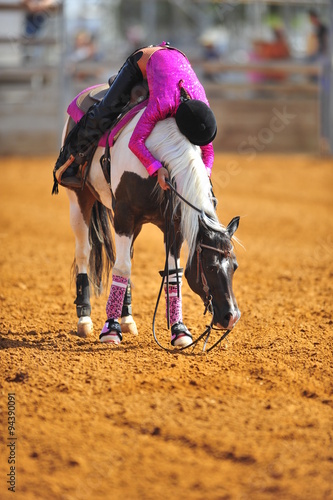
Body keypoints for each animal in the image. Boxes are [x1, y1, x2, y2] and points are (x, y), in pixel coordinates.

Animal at [59, 96, 240, 348]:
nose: (231, 316)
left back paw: (127, 318)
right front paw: (110, 329)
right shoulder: (124, 216)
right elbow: (122, 268)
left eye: (235, 266)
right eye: (211, 266)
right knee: (85, 253)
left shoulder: (173, 226)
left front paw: (179, 330)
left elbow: (172, 273)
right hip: (79, 201)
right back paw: (85, 319)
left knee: (124, 256)